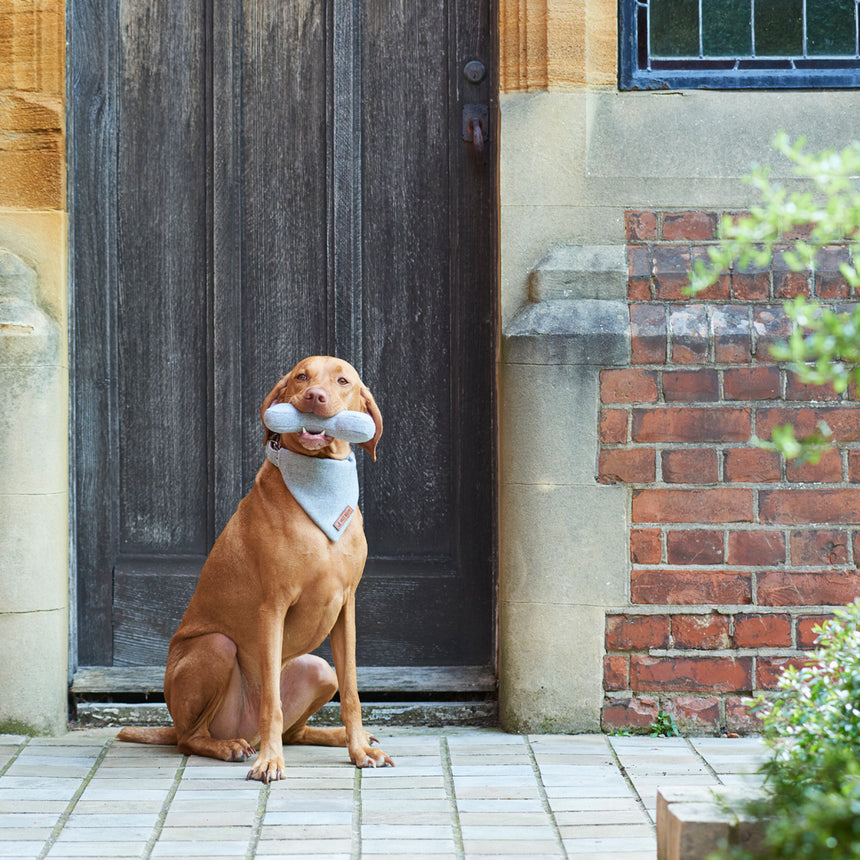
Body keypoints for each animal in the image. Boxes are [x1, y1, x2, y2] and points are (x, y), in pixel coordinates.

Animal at [117, 356, 394, 780]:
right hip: (214, 649)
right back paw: (230, 746)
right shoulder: (272, 608)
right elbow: (272, 705)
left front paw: (359, 748)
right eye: (301, 377)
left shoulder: (346, 608)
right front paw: (270, 761)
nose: (314, 397)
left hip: (318, 668)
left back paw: (332, 736)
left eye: (343, 380)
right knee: (190, 738)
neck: (319, 487)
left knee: (297, 730)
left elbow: (351, 692)